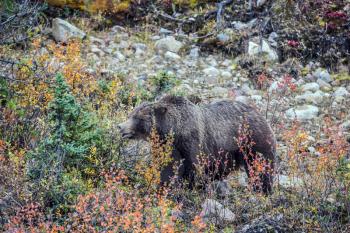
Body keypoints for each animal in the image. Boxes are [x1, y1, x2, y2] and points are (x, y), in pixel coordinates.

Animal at [117, 94, 276, 193]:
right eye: (131, 114)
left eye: (138, 118)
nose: (120, 127)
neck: (172, 130)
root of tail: (259, 113)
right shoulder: (165, 146)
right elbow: (166, 168)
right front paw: (163, 187)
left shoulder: (191, 142)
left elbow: (192, 167)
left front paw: (187, 187)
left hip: (253, 141)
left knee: (260, 166)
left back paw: (263, 189)